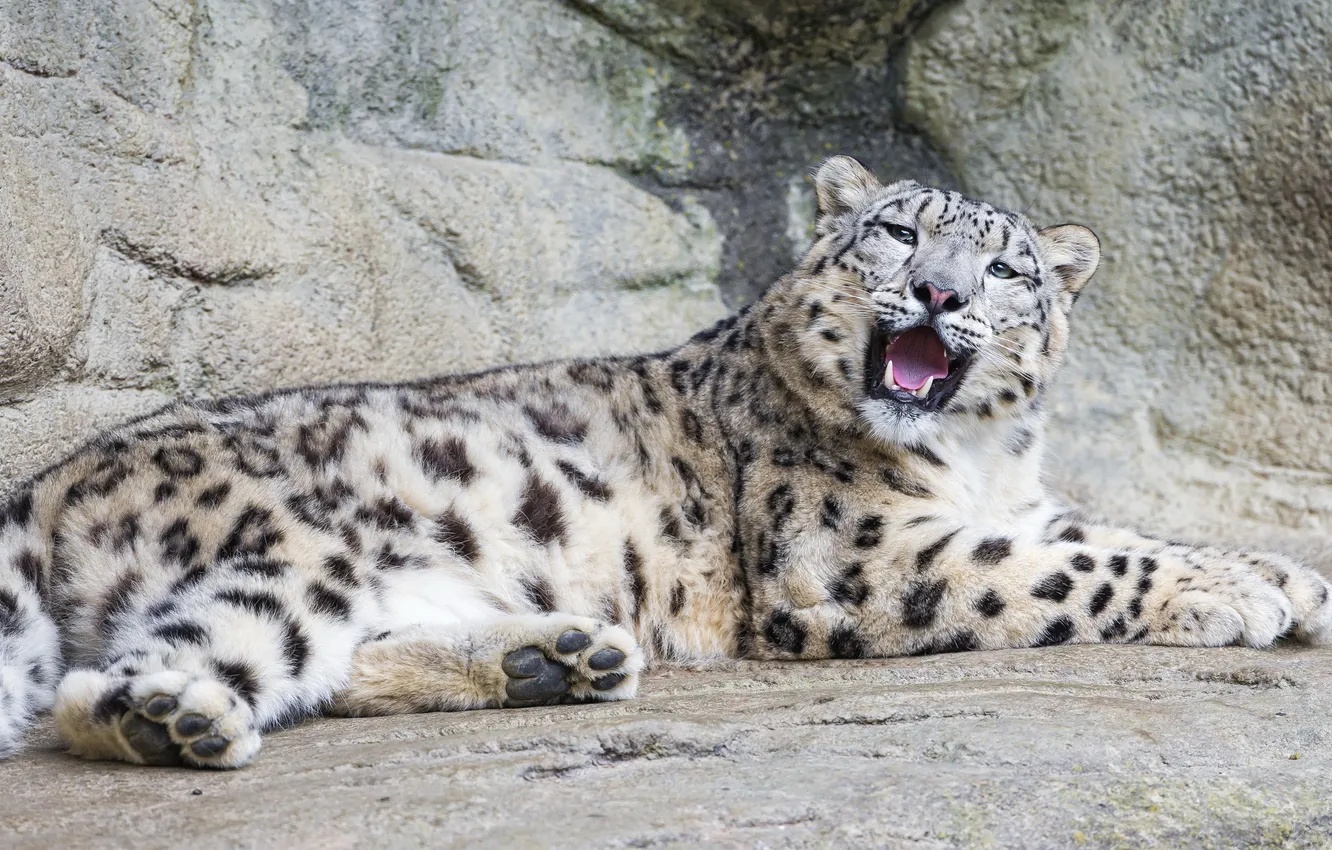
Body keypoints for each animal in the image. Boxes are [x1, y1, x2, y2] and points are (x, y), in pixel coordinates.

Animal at [0, 155, 1328, 770]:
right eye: (898, 232)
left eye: (1005, 269)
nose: (941, 294)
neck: (976, 459)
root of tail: (59, 475)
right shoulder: (852, 560)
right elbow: (1074, 567)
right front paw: (1244, 590)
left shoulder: (1019, 502)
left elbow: (1098, 530)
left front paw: (1284, 574)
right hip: (286, 555)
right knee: (114, 680)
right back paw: (171, 721)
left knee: (331, 663)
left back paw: (554, 658)